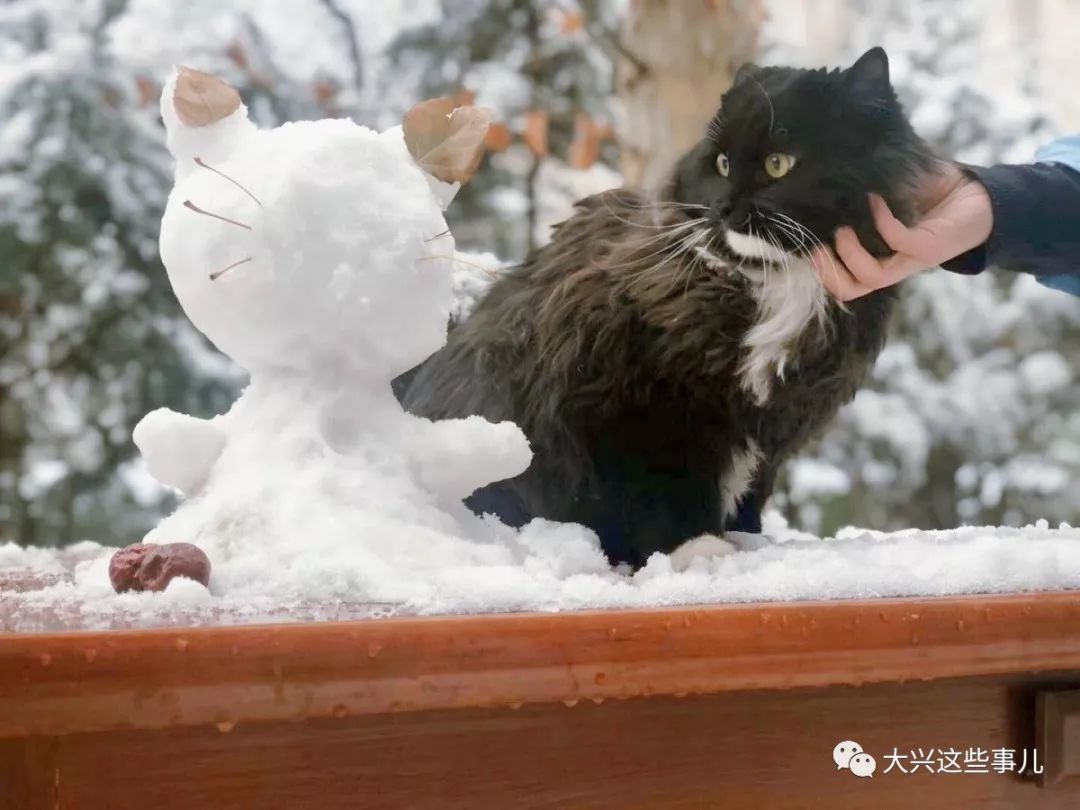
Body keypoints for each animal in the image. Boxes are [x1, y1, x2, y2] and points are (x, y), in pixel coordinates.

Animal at [397, 47, 937, 565]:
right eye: (722, 165)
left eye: (778, 164)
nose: (724, 207)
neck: (775, 286)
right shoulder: (636, 407)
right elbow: (664, 491)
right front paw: (696, 548)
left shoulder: (772, 428)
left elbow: (748, 496)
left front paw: (746, 541)